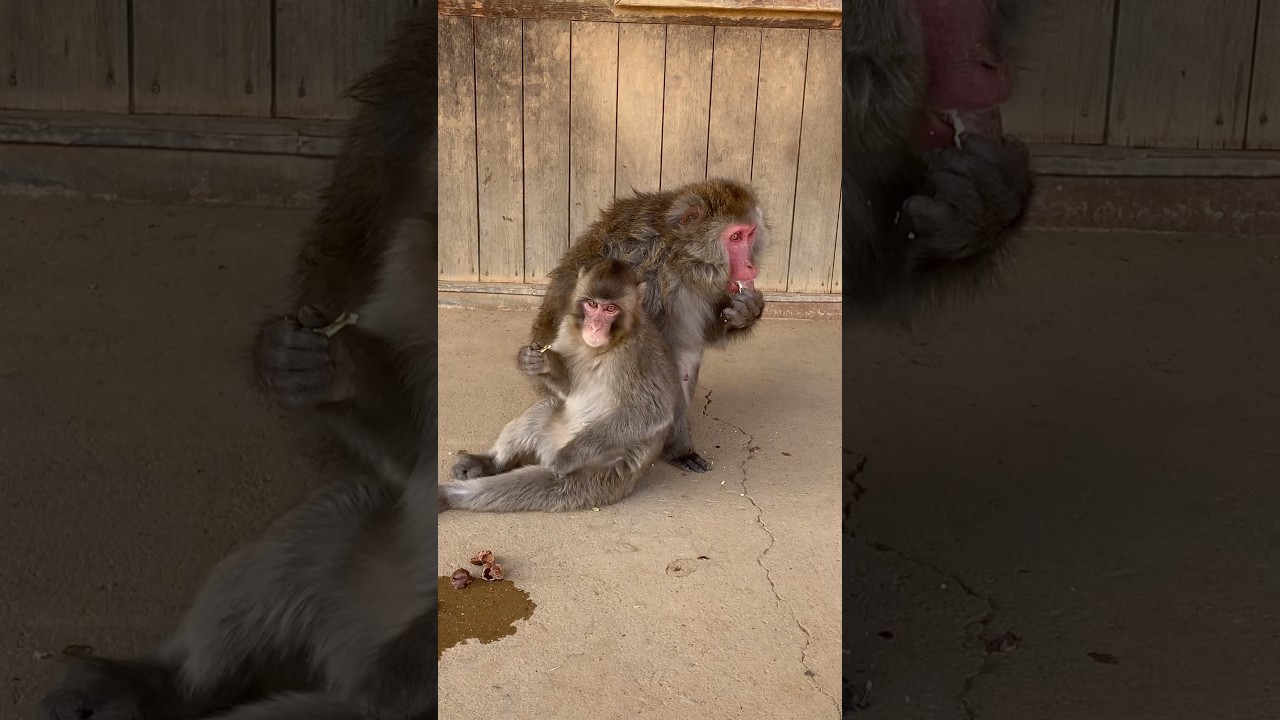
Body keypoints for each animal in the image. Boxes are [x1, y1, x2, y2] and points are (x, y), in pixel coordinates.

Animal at [441, 258, 681, 513]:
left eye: (610, 309)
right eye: (592, 304)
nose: (595, 326)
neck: (604, 347)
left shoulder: (637, 355)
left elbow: (651, 412)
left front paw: (569, 455)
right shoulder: (567, 328)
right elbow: (568, 389)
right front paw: (537, 362)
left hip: (602, 473)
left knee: (545, 484)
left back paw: (450, 495)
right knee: (544, 408)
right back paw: (490, 463)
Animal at [517, 179, 767, 475]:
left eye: (750, 234)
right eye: (735, 238)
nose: (750, 267)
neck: (679, 256)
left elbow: (699, 337)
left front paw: (747, 310)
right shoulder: (649, 280)